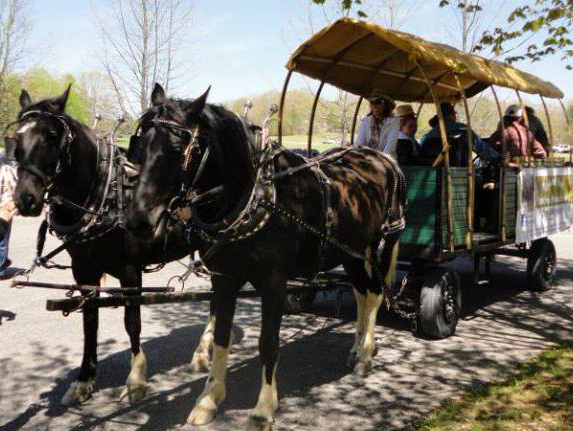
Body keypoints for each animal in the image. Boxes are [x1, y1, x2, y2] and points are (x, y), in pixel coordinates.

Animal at [10, 88, 194, 408]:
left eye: (52, 135)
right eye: (17, 139)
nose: (26, 199)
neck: (106, 196)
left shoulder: (130, 271)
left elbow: (132, 322)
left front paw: (136, 381)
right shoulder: (84, 272)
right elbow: (89, 321)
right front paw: (84, 380)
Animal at [127, 83, 404, 428]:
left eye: (179, 148)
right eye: (139, 143)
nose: (138, 220)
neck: (252, 196)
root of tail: (380, 158)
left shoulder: (274, 284)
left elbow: (268, 345)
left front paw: (263, 409)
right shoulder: (224, 279)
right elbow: (221, 337)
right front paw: (209, 399)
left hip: (381, 244)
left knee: (376, 294)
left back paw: (365, 354)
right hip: (350, 253)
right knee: (362, 294)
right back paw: (356, 348)